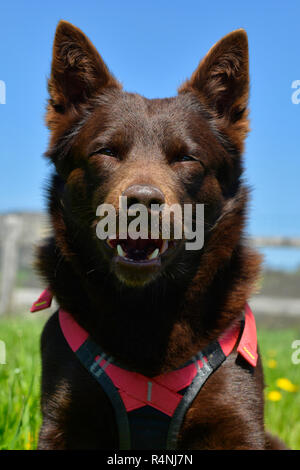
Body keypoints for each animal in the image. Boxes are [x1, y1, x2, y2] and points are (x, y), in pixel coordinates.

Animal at [36, 20, 284, 450]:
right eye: (106, 152)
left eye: (186, 158)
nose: (142, 201)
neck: (148, 310)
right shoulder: (63, 419)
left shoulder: (235, 422)